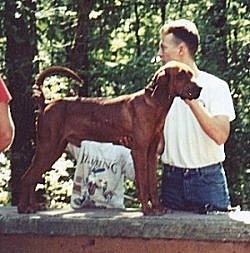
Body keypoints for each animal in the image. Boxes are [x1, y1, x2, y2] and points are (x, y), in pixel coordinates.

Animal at [17, 60, 201, 214]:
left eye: (191, 74)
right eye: (181, 75)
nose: (200, 89)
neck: (153, 102)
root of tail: (45, 104)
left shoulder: (151, 154)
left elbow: (152, 184)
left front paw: (158, 208)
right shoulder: (140, 151)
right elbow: (144, 183)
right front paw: (147, 210)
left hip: (54, 150)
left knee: (32, 178)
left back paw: (33, 207)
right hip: (47, 149)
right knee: (26, 178)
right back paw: (24, 208)